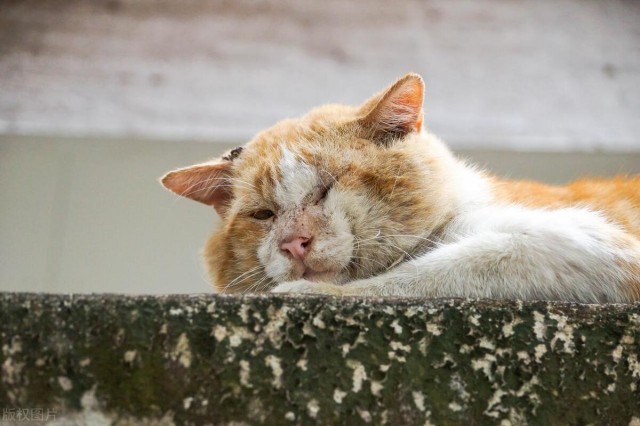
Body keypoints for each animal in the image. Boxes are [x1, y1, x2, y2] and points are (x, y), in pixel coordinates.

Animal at [164, 73, 640, 302]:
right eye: (263, 214)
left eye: (326, 188)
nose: (294, 243)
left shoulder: (583, 242)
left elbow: (424, 274)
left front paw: (313, 293)